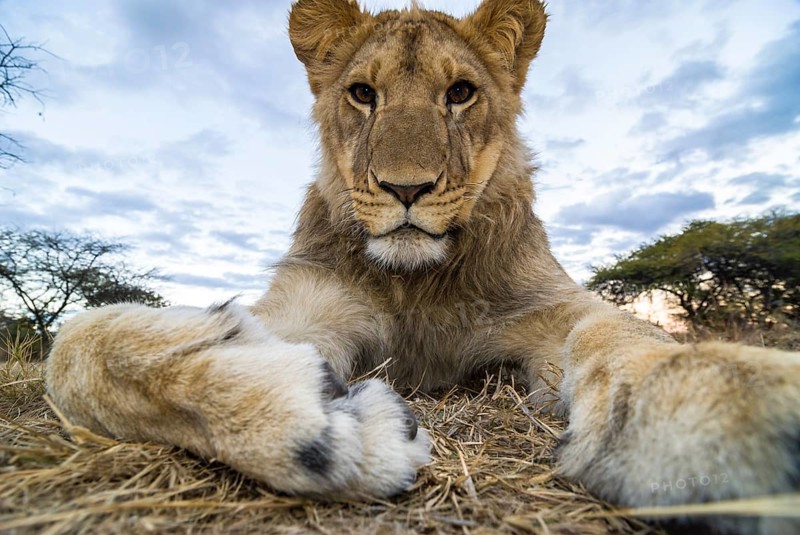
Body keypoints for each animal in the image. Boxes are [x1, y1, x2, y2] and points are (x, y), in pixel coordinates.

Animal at [46, 0, 800, 533]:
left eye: (460, 92)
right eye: (362, 94)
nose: (405, 188)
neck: (417, 280)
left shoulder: (551, 307)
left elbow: (622, 333)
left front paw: (720, 410)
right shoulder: (310, 303)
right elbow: (79, 347)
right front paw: (321, 423)